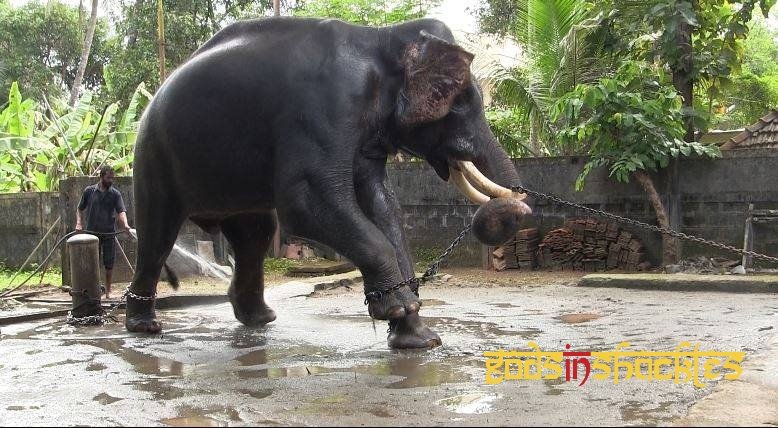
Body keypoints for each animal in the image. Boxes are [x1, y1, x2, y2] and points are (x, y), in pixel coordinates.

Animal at [126, 16, 531, 349]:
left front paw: (421, 338)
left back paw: (260, 319)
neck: (379, 39)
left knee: (255, 233)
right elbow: (306, 203)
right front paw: (397, 309)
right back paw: (144, 326)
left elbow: (383, 206)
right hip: (152, 156)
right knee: (158, 234)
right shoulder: (324, 106)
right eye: (459, 101)